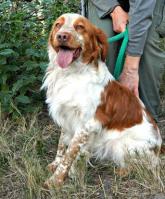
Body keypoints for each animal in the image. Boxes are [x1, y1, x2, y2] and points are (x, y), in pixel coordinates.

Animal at [42, 13, 162, 187]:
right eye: (58, 25)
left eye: (80, 27)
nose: (62, 36)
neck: (72, 74)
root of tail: (160, 147)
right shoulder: (66, 116)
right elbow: (62, 144)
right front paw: (55, 164)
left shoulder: (86, 124)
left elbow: (69, 154)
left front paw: (56, 180)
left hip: (121, 145)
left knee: (146, 166)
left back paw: (122, 171)